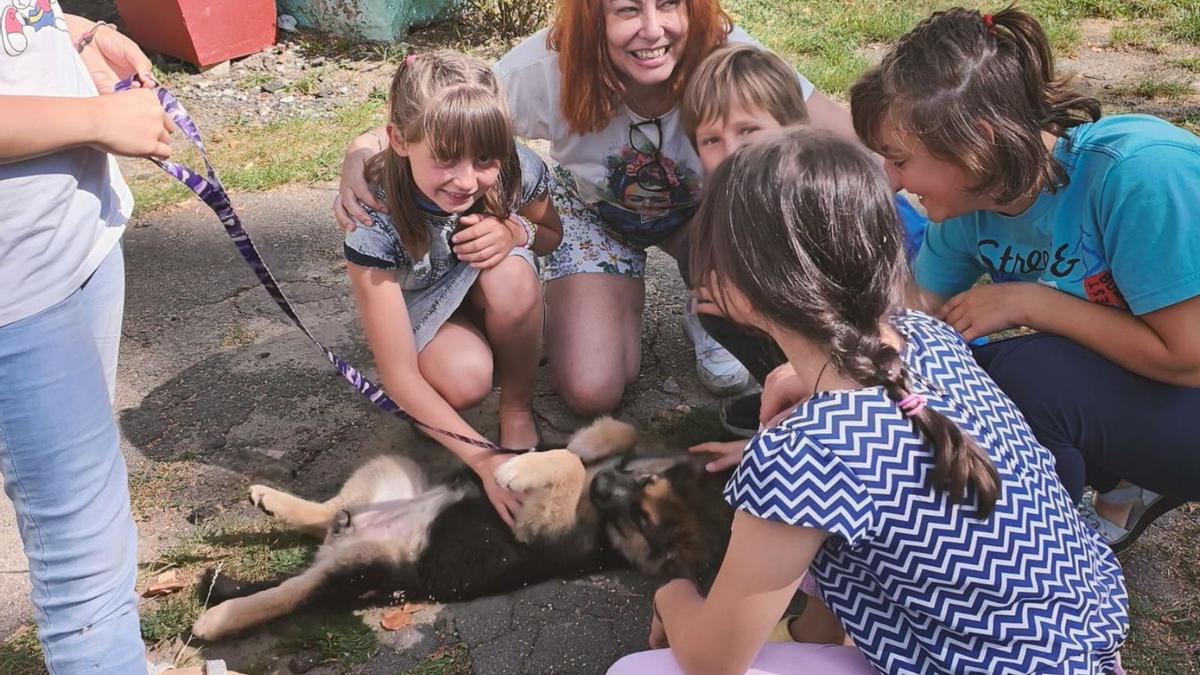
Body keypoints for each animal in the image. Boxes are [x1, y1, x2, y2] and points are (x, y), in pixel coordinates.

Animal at [189, 413, 729, 638]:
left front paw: (516, 472)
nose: (604, 488)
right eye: (645, 481)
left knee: (295, 592)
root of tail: (350, 533)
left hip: (368, 567)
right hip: (390, 470)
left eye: (640, 518)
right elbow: (613, 433)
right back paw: (273, 501)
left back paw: (218, 619)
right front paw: (581, 447)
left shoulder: (545, 530)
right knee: (328, 513)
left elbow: (570, 468)